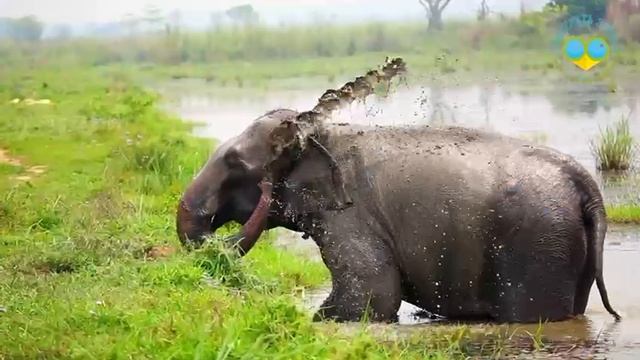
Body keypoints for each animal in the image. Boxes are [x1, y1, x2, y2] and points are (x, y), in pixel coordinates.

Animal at [175, 61, 620, 324]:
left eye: (235, 164)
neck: (321, 136)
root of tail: (585, 184)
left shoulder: (350, 217)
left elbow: (372, 296)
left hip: (538, 243)